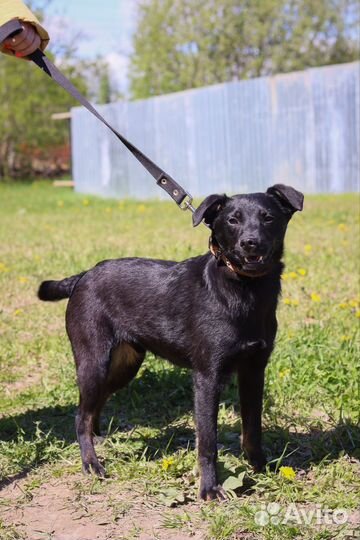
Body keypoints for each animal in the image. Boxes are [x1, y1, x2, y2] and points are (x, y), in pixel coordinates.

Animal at [38, 184, 304, 500]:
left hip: (124, 365)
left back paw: (97, 440)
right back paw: (91, 463)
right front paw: (209, 488)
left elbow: (252, 428)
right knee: (80, 416)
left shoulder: (253, 371)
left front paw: (261, 467)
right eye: (232, 220)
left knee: (91, 408)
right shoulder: (207, 377)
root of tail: (83, 276)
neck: (243, 289)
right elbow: (208, 442)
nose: (250, 243)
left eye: (268, 218)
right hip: (94, 362)